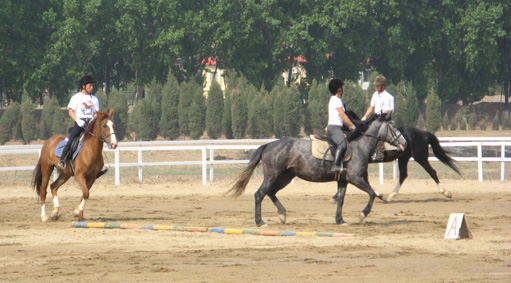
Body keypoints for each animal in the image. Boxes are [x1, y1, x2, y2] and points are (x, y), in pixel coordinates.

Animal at [228, 114, 408, 227]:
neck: (359, 146)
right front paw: (362, 214)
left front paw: (340, 220)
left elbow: (341, 199)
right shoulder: (355, 178)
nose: (405, 143)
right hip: (272, 175)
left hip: (286, 176)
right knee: (260, 194)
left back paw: (282, 214)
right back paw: (260, 222)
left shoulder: (343, 180)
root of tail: (268, 145)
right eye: (393, 126)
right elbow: (371, 193)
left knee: (271, 192)